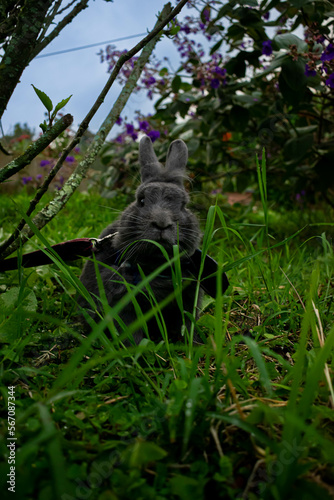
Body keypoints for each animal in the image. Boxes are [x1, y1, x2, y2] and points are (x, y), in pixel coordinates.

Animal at [79, 135, 201, 342]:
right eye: (141, 200)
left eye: (183, 205)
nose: (162, 223)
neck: (155, 267)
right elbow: (131, 332)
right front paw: (139, 349)